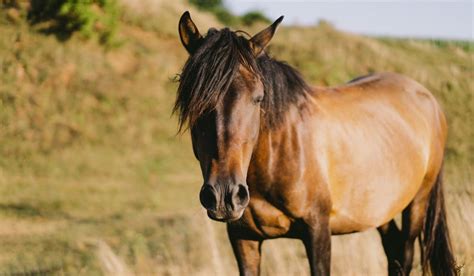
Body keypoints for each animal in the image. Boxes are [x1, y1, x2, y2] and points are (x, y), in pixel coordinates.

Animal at [176, 11, 458, 276]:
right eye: (193, 100)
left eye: (258, 98)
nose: (225, 195)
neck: (278, 156)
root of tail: (427, 98)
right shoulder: (243, 239)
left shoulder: (318, 231)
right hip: (381, 208)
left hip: (418, 202)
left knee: (406, 252)